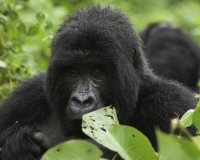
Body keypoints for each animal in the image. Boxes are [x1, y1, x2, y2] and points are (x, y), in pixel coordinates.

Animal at [0, 5, 197, 159]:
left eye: (97, 71)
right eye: (72, 71)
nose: (81, 100)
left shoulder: (171, 104)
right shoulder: (26, 96)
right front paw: (18, 146)